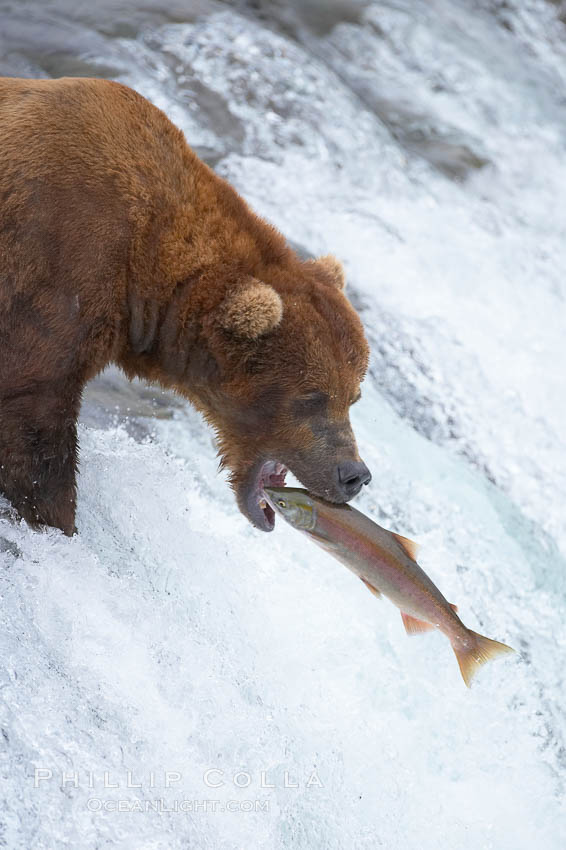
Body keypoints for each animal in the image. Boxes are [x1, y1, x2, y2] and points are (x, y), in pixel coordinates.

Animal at [0, 76, 372, 532]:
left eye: (352, 397)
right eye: (312, 397)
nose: (353, 474)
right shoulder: (60, 262)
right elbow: (34, 420)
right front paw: (56, 520)